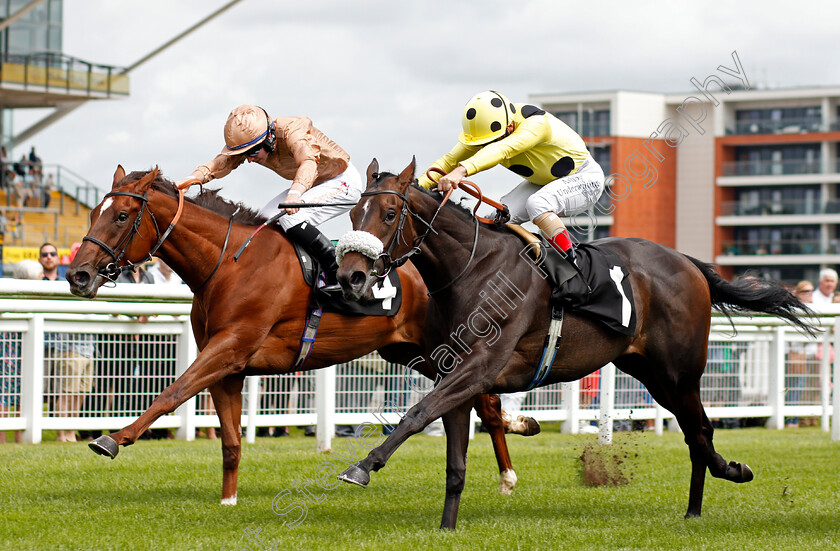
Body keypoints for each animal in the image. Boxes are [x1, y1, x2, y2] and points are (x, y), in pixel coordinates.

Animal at [65, 165, 540, 504]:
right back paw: (514, 443)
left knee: (482, 399)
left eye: (121, 216)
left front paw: (111, 438)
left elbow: (171, 392)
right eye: (92, 213)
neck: (229, 263)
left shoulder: (230, 347)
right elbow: (231, 441)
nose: (77, 275)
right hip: (412, 353)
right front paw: (228, 501)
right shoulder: (227, 368)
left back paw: (508, 468)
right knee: (483, 401)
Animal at [334, 158, 812, 532]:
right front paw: (447, 526)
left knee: (700, 431)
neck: (474, 268)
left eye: (390, 213)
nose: (350, 276)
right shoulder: (454, 372)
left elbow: (416, 414)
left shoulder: (480, 367)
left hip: (680, 372)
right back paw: (696, 508)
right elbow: (453, 457)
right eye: (354, 212)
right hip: (651, 374)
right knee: (695, 433)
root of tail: (688, 263)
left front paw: (362, 467)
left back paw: (726, 476)